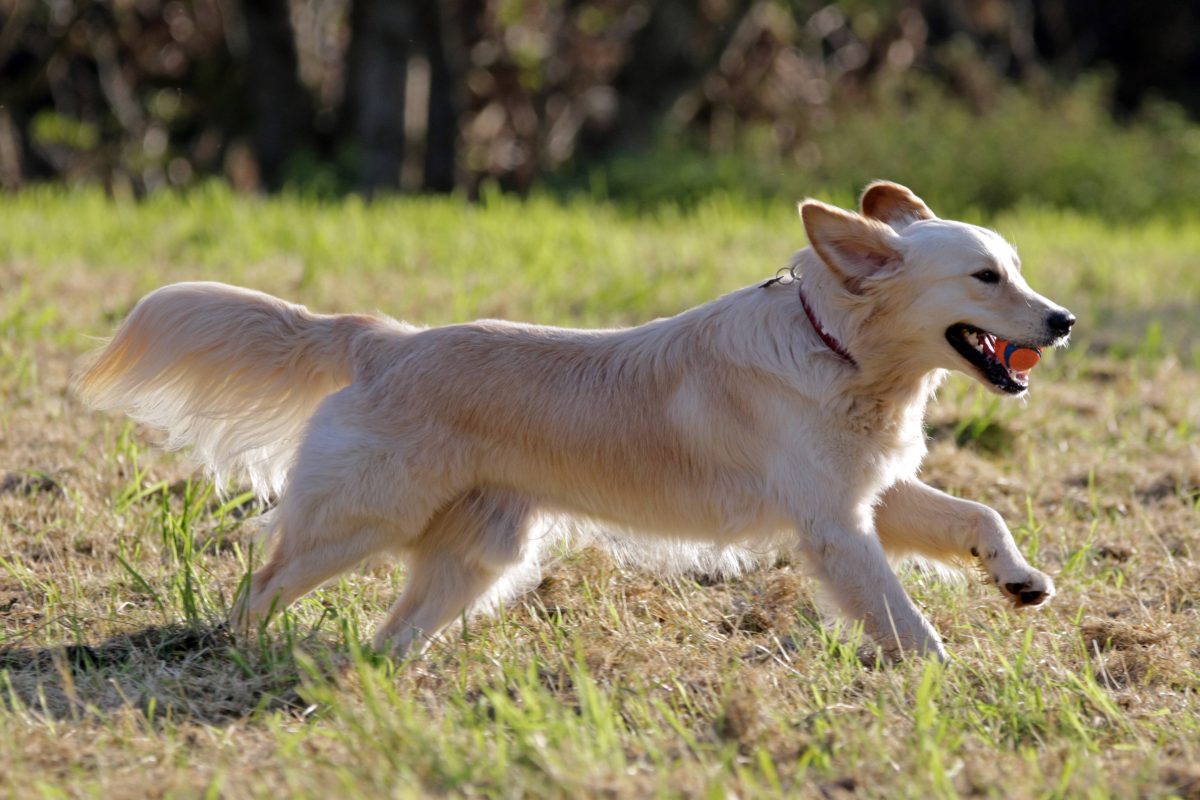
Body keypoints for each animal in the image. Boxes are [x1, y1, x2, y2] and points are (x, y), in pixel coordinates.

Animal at [75, 183, 1075, 662]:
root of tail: (385, 342)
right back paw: (237, 654)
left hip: (479, 555)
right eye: (986, 277)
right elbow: (902, 616)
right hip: (360, 519)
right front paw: (948, 674)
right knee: (262, 582)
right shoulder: (832, 525)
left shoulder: (873, 491)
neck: (838, 349)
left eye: (1020, 267)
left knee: (389, 634)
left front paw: (1019, 580)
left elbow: (977, 515)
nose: (1063, 321)